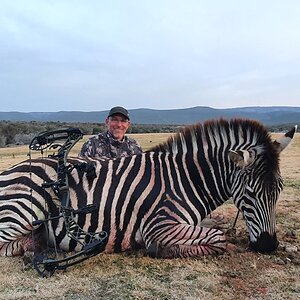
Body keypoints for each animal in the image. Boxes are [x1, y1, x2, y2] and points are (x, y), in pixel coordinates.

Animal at [0, 119, 296, 262]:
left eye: (279, 190)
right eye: (250, 193)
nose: (269, 246)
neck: (186, 179)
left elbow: (213, 228)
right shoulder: (160, 225)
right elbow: (219, 239)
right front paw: (159, 250)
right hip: (24, 210)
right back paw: (32, 249)